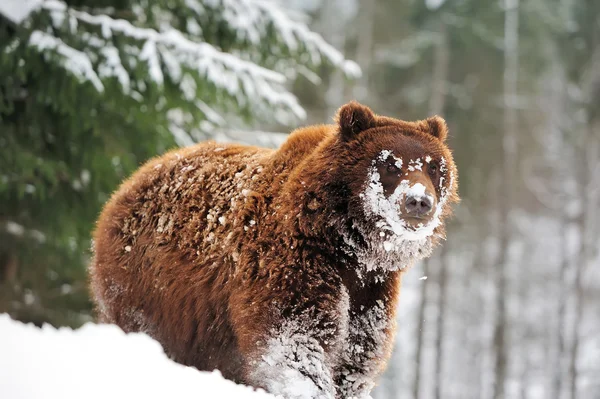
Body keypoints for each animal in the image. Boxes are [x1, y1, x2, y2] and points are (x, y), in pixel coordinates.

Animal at [89, 102, 458, 399]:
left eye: (433, 167)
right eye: (390, 164)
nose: (419, 201)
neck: (350, 245)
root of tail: (128, 184)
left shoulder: (372, 290)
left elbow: (359, 351)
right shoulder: (292, 261)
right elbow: (294, 338)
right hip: (150, 287)